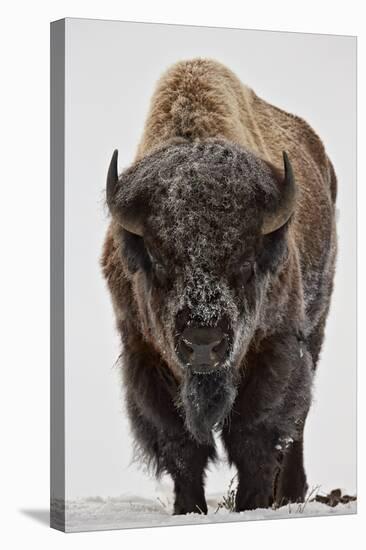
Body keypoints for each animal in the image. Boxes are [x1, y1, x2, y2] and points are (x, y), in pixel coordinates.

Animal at [101, 58, 338, 516]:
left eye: (245, 264)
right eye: (158, 261)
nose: (203, 343)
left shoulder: (275, 347)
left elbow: (256, 434)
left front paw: (251, 505)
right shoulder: (144, 354)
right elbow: (180, 444)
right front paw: (188, 509)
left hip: (315, 327)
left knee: (297, 424)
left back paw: (290, 494)